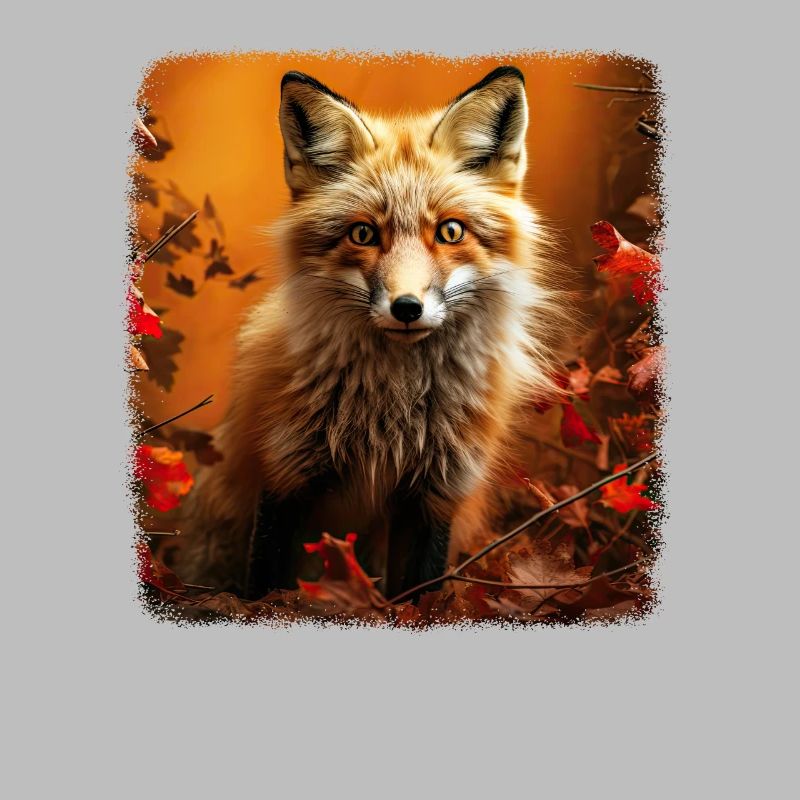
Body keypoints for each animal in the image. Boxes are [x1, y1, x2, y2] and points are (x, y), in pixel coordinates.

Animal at [175, 65, 571, 600]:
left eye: (449, 232)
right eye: (363, 234)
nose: (407, 308)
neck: (390, 411)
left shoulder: (436, 493)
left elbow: (419, 594)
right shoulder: (284, 475)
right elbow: (266, 586)